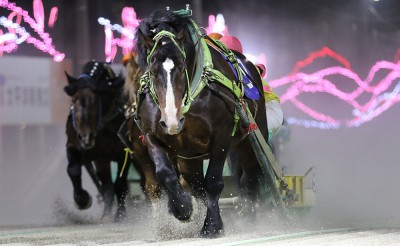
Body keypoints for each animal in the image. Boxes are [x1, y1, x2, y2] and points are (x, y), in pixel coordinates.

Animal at [64, 60, 131, 222]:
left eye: (95, 101)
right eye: (74, 100)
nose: (85, 137)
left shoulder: (123, 152)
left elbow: (120, 183)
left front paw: (121, 215)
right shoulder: (75, 146)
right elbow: (73, 169)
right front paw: (82, 199)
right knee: (106, 185)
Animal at [133, 8, 270, 237]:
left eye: (181, 66)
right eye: (152, 70)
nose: (172, 121)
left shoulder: (221, 136)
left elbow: (213, 181)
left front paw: (212, 225)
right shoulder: (152, 136)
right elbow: (165, 175)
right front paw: (181, 208)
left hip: (250, 141)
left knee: (249, 177)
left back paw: (248, 217)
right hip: (189, 157)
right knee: (196, 185)